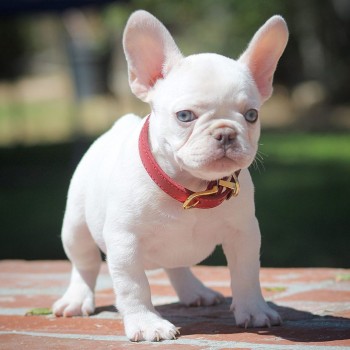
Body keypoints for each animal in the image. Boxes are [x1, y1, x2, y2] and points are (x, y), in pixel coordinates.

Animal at [53, 10, 288, 342]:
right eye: (185, 116)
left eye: (251, 115)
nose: (226, 133)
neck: (190, 187)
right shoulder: (124, 241)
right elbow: (134, 286)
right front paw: (147, 324)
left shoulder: (244, 234)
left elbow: (246, 274)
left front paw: (254, 310)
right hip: (75, 226)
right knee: (84, 263)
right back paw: (76, 299)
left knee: (176, 265)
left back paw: (195, 291)